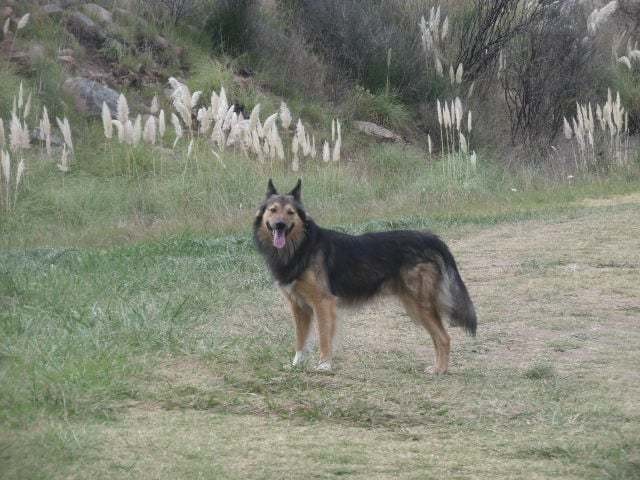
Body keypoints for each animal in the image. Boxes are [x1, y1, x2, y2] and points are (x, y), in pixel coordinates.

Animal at [254, 180, 476, 376]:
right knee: (439, 338)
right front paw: (296, 365)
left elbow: (324, 336)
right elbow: (300, 340)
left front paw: (324, 365)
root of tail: (431, 238)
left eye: (290, 212)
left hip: (420, 304)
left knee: (444, 338)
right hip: (415, 306)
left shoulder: (323, 303)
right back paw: (439, 367)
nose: (280, 225)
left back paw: (440, 370)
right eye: (273, 210)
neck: (303, 246)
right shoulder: (298, 306)